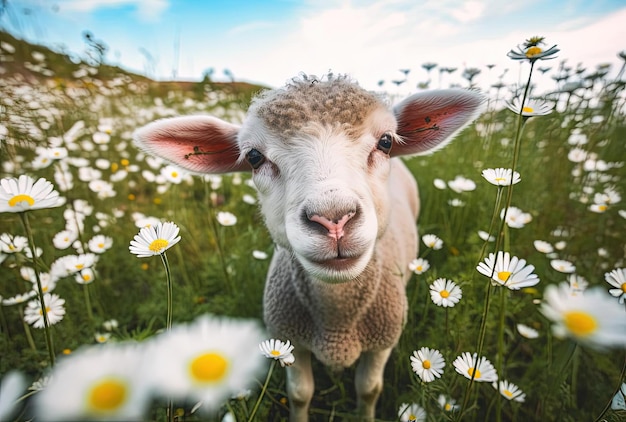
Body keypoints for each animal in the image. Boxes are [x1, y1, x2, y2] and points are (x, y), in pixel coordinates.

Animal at [133, 74, 482, 420]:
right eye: (254, 157)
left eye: (385, 142)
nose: (334, 220)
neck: (337, 322)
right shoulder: (290, 340)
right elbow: (300, 393)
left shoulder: (383, 341)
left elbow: (368, 390)